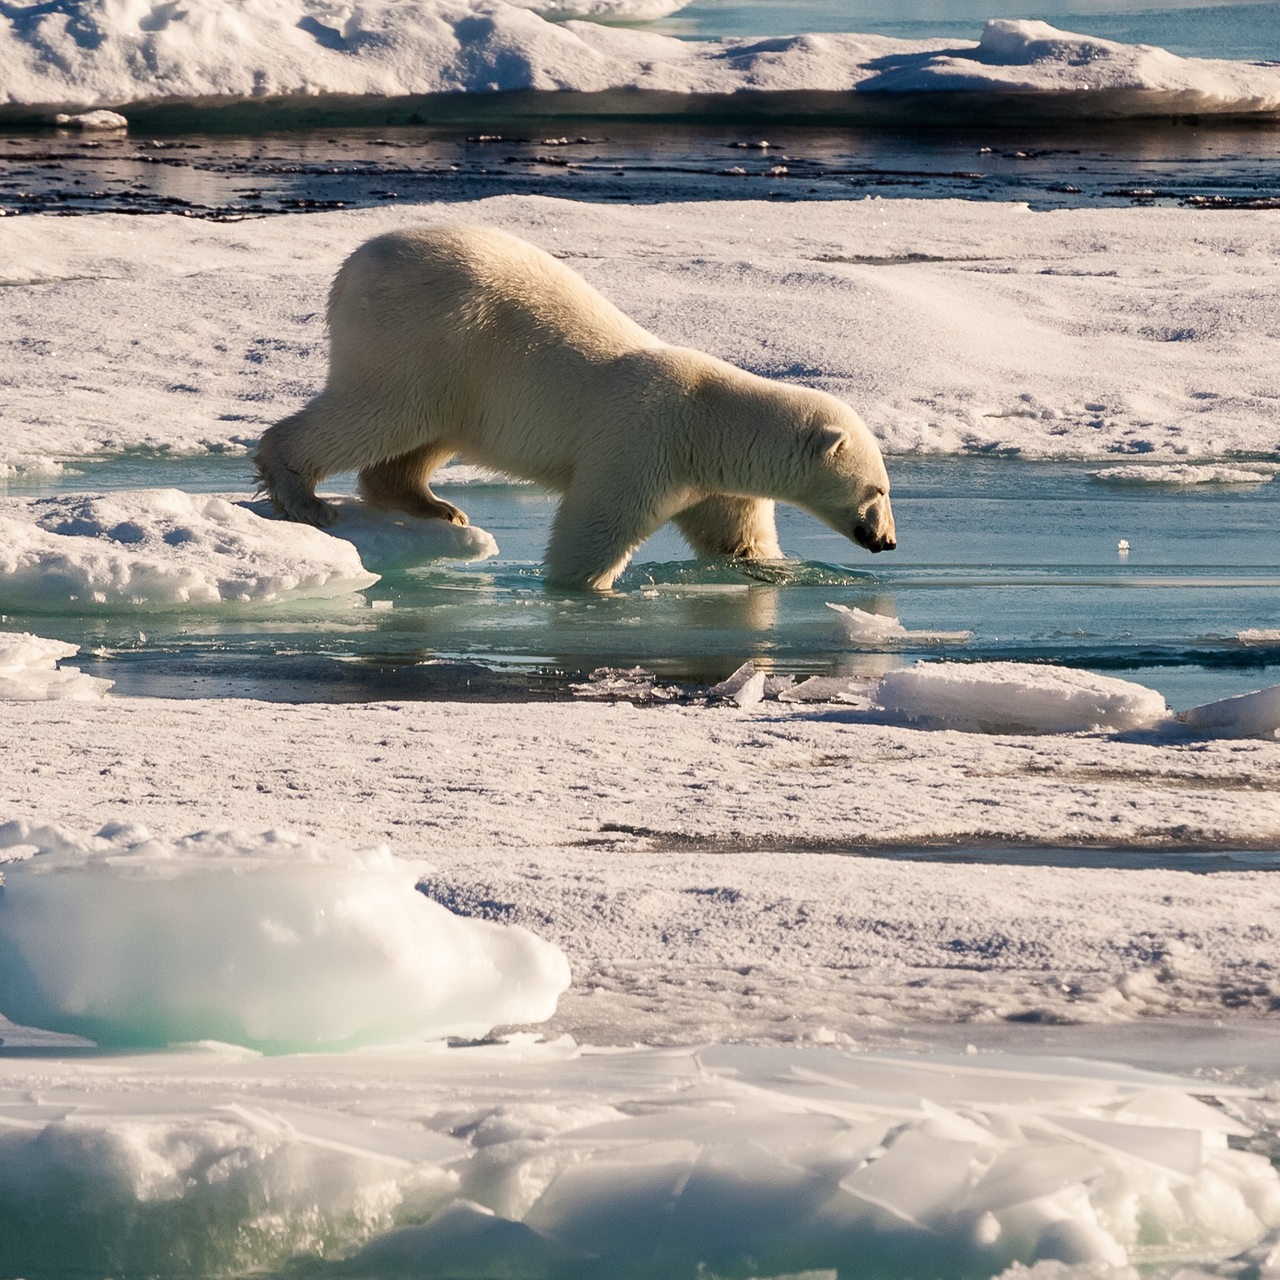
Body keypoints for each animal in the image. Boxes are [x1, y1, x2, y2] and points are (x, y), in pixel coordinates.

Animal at [254, 222, 896, 591]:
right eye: (878, 489)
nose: (886, 541)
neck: (707, 421)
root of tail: (354, 264)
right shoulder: (640, 443)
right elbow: (594, 527)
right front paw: (584, 589)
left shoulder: (710, 480)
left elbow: (734, 538)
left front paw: (768, 568)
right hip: (425, 335)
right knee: (381, 412)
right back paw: (303, 496)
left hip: (455, 371)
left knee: (425, 435)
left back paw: (436, 506)